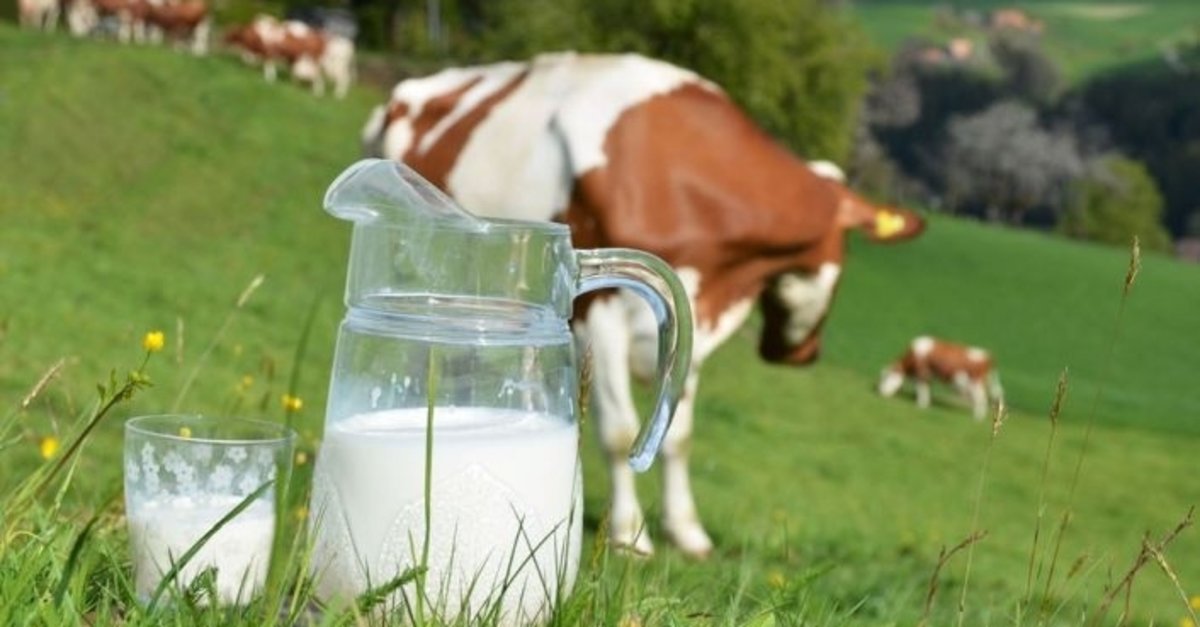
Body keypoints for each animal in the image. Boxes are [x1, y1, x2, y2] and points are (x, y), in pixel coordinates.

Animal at [357, 51, 926, 554]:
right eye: (847, 250)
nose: (804, 354)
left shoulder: (691, 319)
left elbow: (677, 434)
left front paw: (688, 532)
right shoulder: (600, 313)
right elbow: (620, 432)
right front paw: (630, 536)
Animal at [873, 333, 1003, 418]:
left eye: (887, 377)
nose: (880, 392)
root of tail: (987, 355)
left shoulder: (922, 373)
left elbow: (922, 390)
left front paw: (920, 406)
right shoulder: (927, 375)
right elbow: (926, 390)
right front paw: (925, 404)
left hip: (976, 383)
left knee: (981, 399)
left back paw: (977, 418)